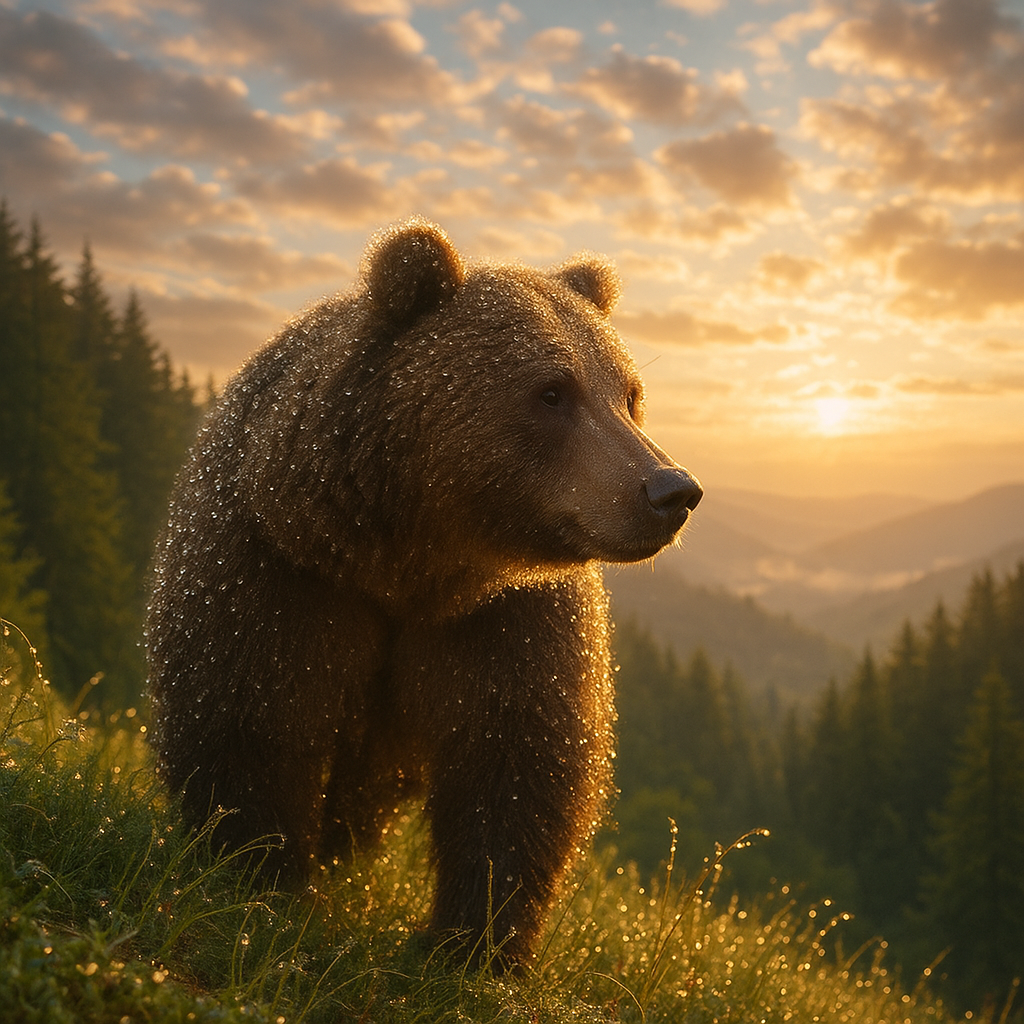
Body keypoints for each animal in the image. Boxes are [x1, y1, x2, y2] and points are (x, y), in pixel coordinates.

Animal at [146, 218, 702, 969]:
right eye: (552, 391)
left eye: (630, 393)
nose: (670, 489)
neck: (405, 561)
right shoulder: (277, 565)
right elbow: (250, 711)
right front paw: (259, 877)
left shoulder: (501, 617)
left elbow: (516, 761)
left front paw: (476, 945)